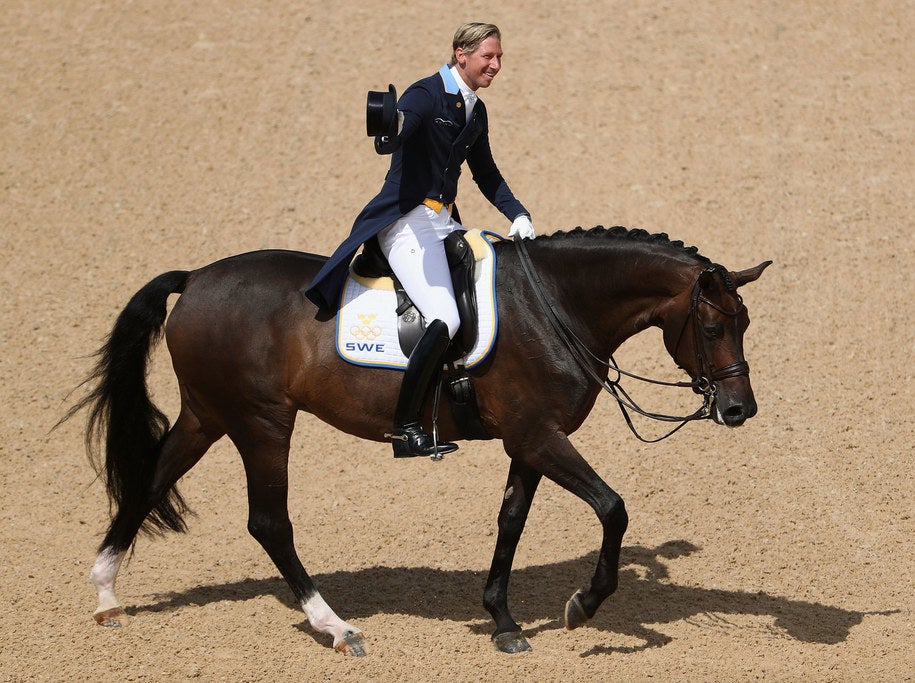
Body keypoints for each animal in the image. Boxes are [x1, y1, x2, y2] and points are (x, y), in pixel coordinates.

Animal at [64, 228, 768, 656]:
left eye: (746, 322)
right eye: (712, 326)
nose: (739, 409)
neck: (554, 306)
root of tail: (197, 278)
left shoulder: (527, 440)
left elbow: (511, 522)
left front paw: (503, 622)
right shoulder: (539, 436)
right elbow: (612, 508)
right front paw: (582, 605)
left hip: (208, 415)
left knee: (150, 481)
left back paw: (106, 597)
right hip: (262, 424)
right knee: (268, 522)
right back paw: (335, 626)